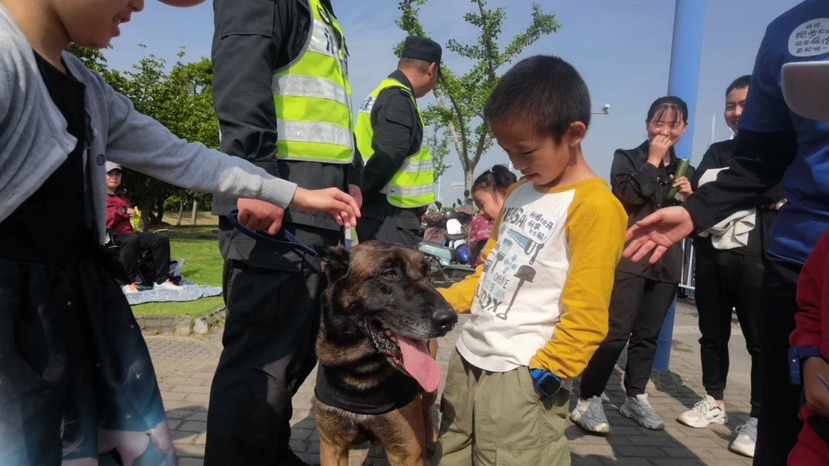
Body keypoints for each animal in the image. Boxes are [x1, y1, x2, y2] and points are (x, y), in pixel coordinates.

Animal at [314, 242, 456, 464]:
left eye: (428, 274)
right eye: (390, 274)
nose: (450, 320)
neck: (360, 370)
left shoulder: (407, 453)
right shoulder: (332, 446)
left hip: (429, 389)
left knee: (425, 409)